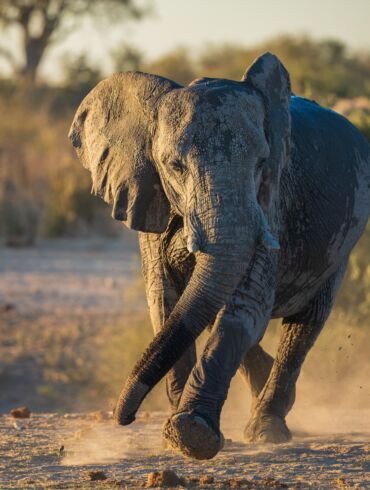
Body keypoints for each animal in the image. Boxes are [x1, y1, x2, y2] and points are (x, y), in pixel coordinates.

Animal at [69, 53, 370, 460]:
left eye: (261, 163)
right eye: (174, 166)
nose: (123, 417)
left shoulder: (270, 204)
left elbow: (243, 307)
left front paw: (191, 434)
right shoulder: (149, 196)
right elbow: (166, 302)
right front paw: (175, 440)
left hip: (344, 240)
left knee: (306, 323)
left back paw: (268, 427)